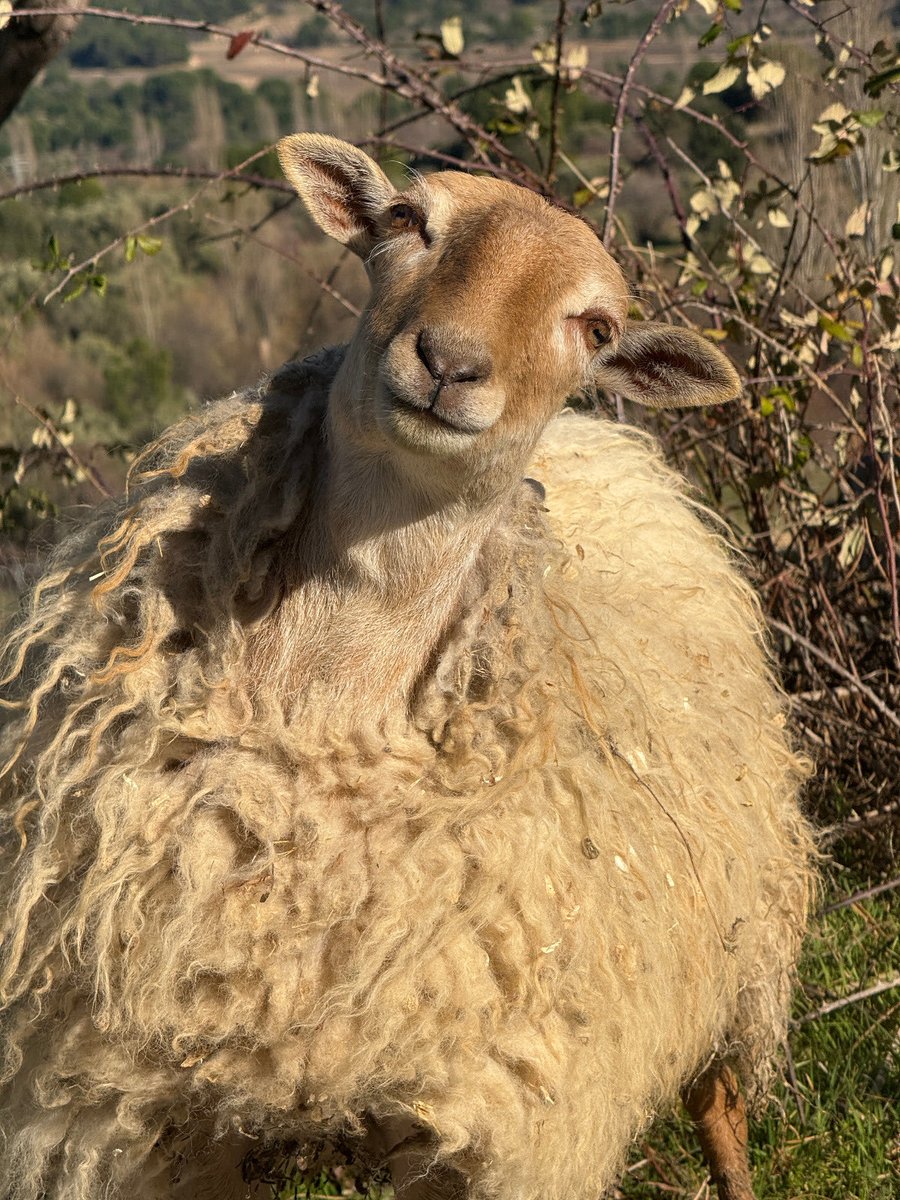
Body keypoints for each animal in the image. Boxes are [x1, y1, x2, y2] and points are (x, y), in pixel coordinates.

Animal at [0, 134, 814, 1200]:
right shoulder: (116, 1102)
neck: (327, 696)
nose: (449, 364)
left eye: (596, 326)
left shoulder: (513, 1110)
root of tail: (606, 440)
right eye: (404, 222)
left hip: (730, 938)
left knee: (721, 1106)